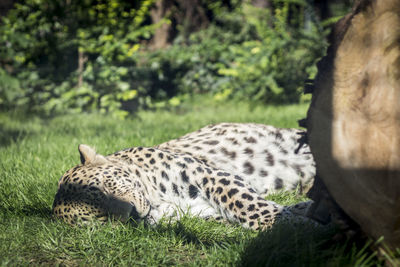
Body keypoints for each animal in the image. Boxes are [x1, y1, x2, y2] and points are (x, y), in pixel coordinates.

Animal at [52, 122, 316, 229]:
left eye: (108, 187)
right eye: (102, 218)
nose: (132, 214)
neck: (158, 202)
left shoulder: (209, 176)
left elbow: (247, 204)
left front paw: (288, 223)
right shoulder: (201, 215)